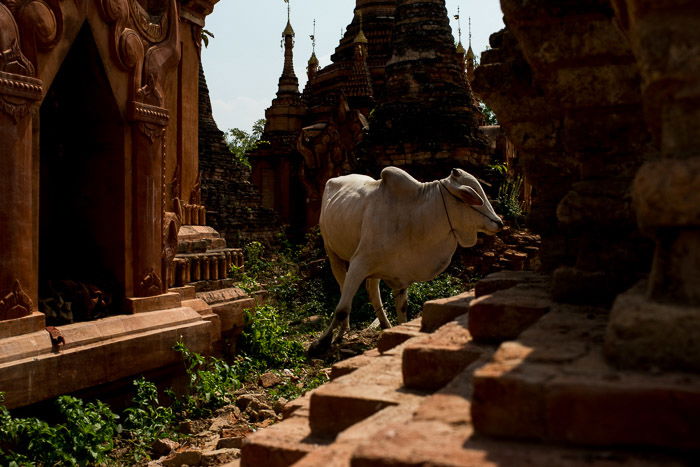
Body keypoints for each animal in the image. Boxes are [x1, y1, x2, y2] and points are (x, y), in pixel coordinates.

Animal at [308, 168, 500, 354]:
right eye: (471, 196)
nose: (498, 222)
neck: (415, 217)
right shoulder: (358, 263)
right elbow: (341, 309)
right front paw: (321, 343)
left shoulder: (399, 275)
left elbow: (402, 309)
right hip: (332, 253)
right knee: (343, 290)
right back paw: (343, 331)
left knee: (373, 291)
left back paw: (385, 325)